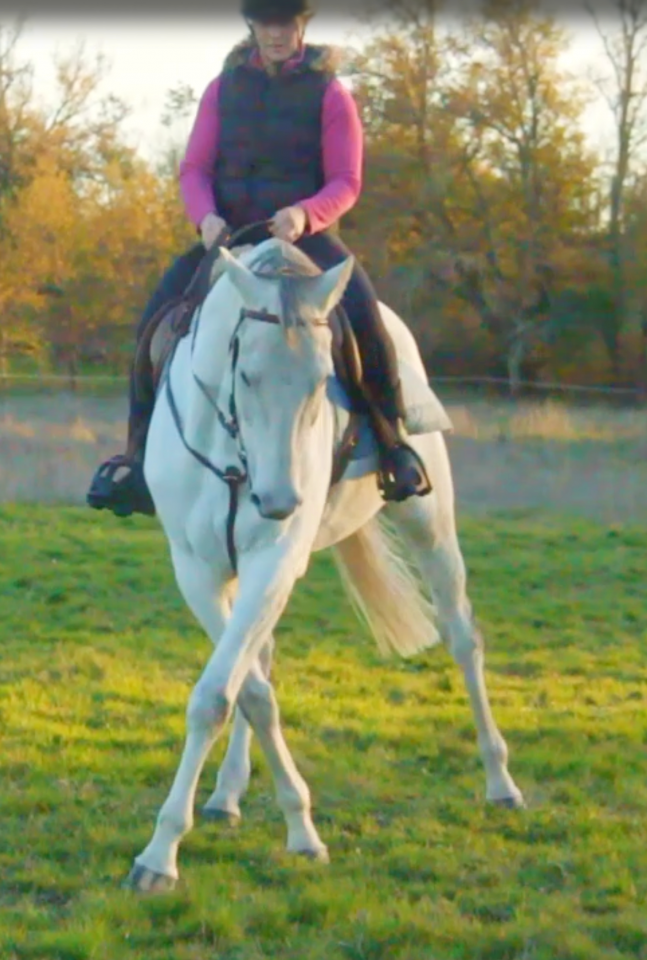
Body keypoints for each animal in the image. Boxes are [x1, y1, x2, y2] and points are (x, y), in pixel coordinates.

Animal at [124, 237, 524, 893]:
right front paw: (288, 824)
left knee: (463, 638)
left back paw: (501, 782)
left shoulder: (275, 559)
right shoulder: (199, 569)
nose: (280, 500)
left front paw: (160, 854)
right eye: (246, 373)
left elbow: (217, 696)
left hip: (428, 522)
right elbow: (247, 691)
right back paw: (226, 795)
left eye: (322, 380)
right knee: (260, 660)